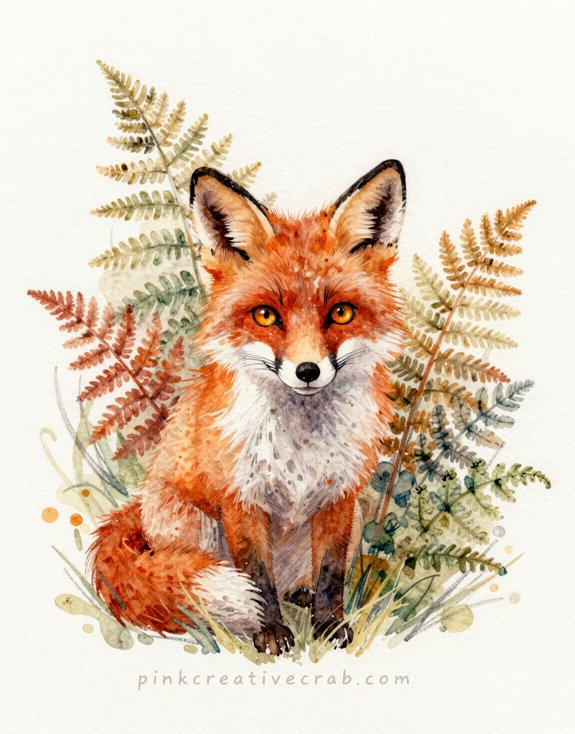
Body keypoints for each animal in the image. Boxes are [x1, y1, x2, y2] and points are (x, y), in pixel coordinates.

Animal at [89, 159, 406, 655]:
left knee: (300, 580)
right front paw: (270, 634)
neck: (301, 446)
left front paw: (329, 626)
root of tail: (138, 506)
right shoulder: (240, 497)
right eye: (265, 316)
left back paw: (301, 593)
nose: (308, 370)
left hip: (354, 519)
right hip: (193, 524)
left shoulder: (339, 497)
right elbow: (256, 578)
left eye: (340, 313)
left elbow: (331, 574)